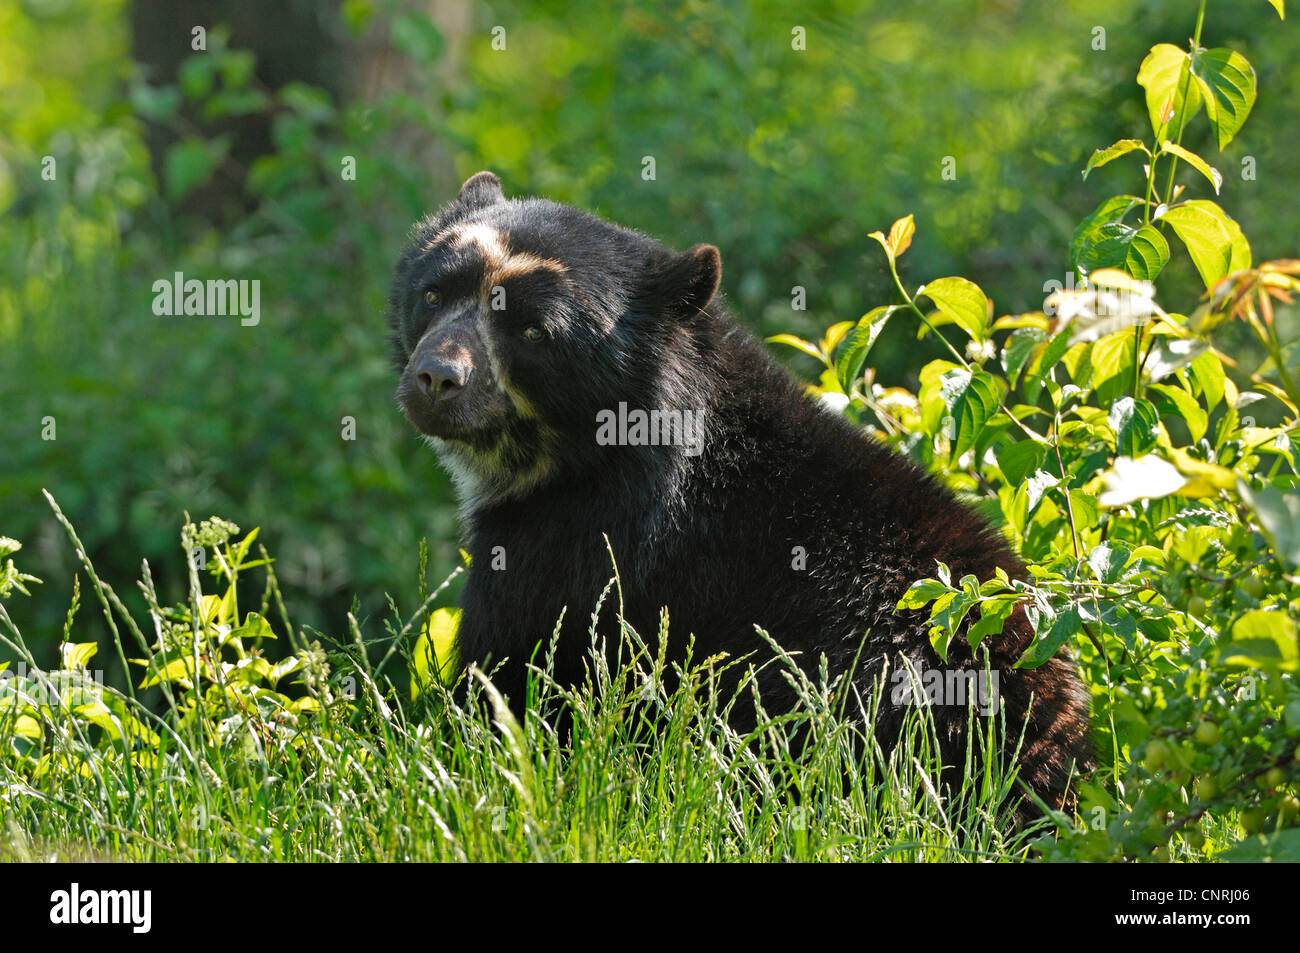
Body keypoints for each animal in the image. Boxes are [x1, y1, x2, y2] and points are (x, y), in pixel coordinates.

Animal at [387, 171, 1094, 817]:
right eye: (432, 293)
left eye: (534, 332)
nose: (436, 378)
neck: (568, 454)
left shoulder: (576, 542)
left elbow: (513, 680)